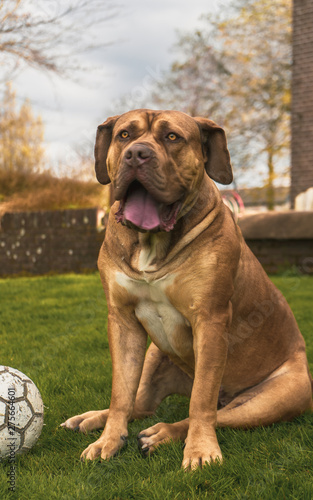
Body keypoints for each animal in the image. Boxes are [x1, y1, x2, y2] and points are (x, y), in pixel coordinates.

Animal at [61, 108, 312, 468]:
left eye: (172, 137)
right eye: (124, 135)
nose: (137, 154)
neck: (152, 244)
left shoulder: (210, 321)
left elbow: (200, 402)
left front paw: (200, 450)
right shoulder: (122, 321)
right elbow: (121, 393)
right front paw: (108, 440)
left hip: (270, 400)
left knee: (212, 413)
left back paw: (162, 433)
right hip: (154, 354)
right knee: (140, 404)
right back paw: (92, 418)